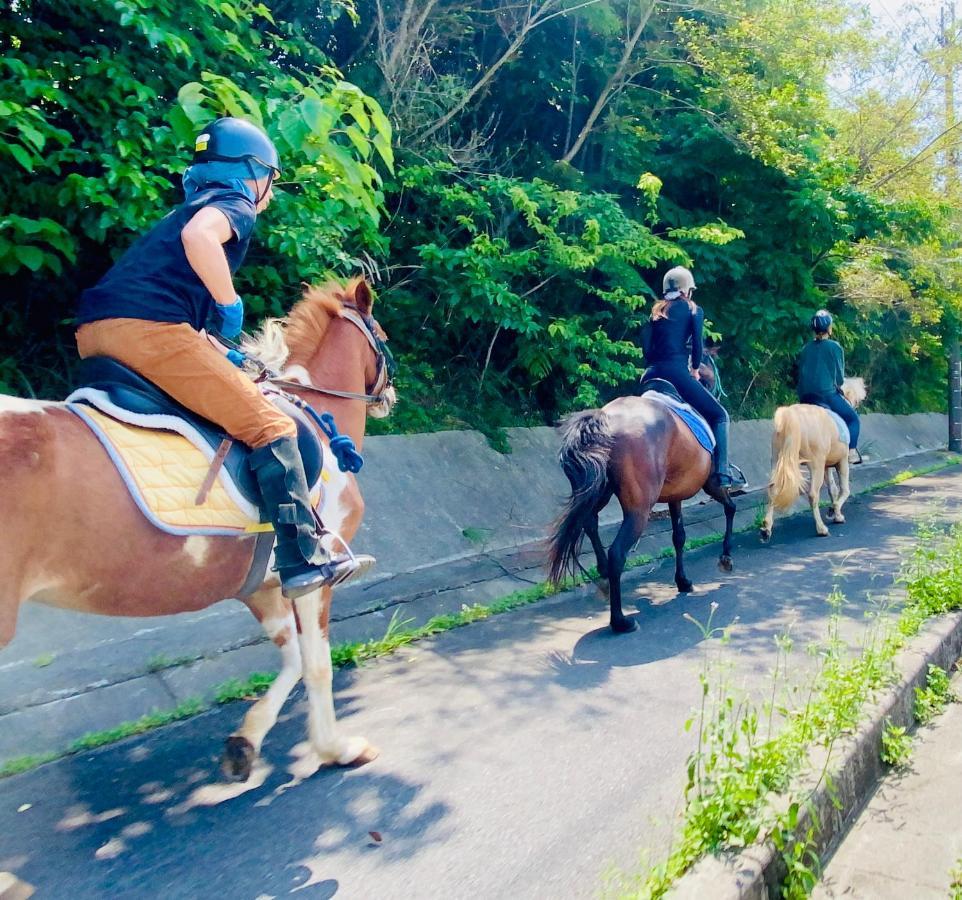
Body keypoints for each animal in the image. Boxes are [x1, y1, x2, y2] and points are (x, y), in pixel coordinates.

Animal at [0, 280, 394, 780]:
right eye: (381, 335)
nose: (390, 395)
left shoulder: (262, 587)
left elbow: (292, 658)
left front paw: (245, 743)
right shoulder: (313, 580)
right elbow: (317, 664)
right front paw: (335, 749)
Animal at [548, 398, 736, 636]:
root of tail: (606, 419)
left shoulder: (675, 496)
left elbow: (679, 537)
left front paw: (682, 581)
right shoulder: (712, 482)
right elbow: (730, 508)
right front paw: (726, 556)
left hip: (597, 491)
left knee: (589, 523)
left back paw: (604, 576)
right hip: (639, 509)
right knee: (617, 553)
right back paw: (620, 621)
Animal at [760, 378, 868, 540]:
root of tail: (791, 416)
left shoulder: (827, 466)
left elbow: (833, 490)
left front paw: (836, 515)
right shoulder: (841, 462)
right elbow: (845, 490)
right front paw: (834, 510)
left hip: (777, 460)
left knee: (773, 489)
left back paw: (766, 529)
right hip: (815, 465)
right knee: (812, 495)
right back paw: (821, 529)